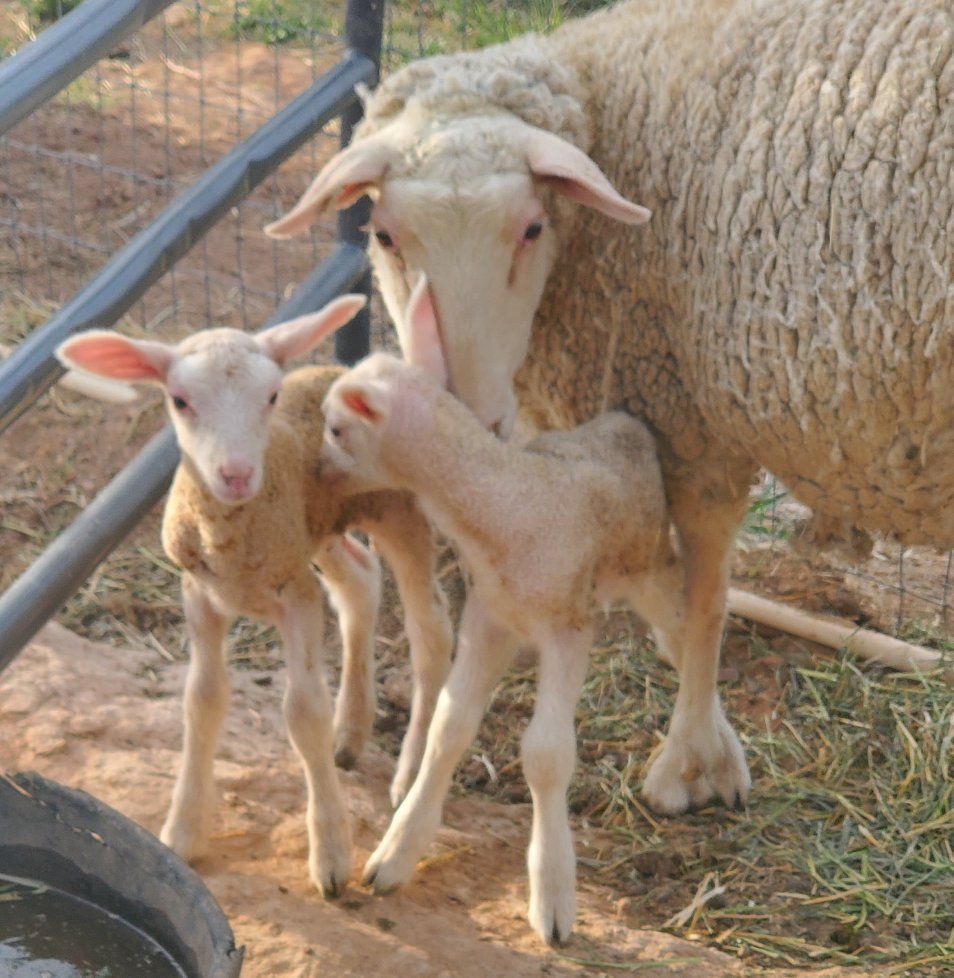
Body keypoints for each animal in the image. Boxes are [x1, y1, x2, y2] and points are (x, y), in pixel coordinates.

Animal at [56, 297, 453, 897]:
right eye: (179, 400)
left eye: (270, 396)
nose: (238, 474)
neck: (230, 535)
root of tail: (346, 372)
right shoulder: (201, 592)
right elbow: (202, 700)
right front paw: (184, 829)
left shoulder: (295, 596)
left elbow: (303, 712)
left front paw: (330, 855)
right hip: (317, 531)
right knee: (360, 582)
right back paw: (350, 733)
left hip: (398, 511)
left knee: (430, 633)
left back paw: (407, 772)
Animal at [266, 0, 954, 816]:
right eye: (383, 234)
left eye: (532, 228)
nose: (464, 414)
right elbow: (671, 599)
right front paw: (708, 744)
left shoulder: (686, 419)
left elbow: (702, 602)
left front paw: (692, 761)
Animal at [319, 276, 689, 944]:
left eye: (336, 429)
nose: (313, 468)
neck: (507, 505)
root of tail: (620, 417)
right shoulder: (489, 615)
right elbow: (447, 725)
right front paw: (395, 855)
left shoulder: (568, 627)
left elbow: (546, 754)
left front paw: (553, 897)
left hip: (651, 561)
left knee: (689, 639)